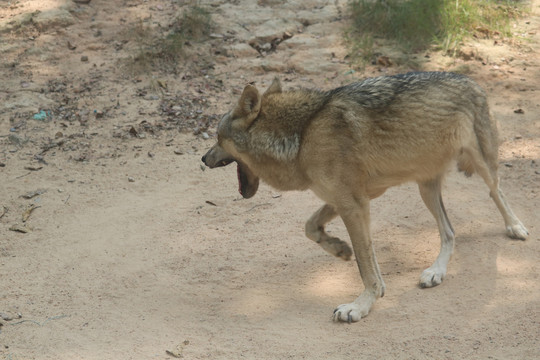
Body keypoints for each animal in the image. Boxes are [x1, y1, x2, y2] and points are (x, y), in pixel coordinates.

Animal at [201, 71, 528, 322]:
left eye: (217, 138)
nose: (203, 158)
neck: (302, 135)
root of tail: (470, 79)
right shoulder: (347, 200)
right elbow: (311, 228)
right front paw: (339, 249)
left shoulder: (355, 206)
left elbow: (366, 267)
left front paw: (360, 306)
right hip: (426, 190)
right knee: (449, 231)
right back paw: (436, 272)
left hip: (480, 165)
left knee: (495, 191)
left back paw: (515, 227)